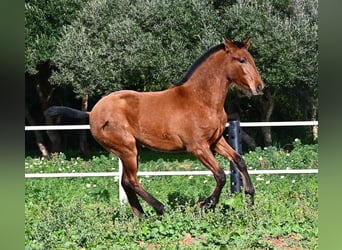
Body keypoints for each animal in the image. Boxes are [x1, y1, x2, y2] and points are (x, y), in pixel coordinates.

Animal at [45, 38, 264, 217]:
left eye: (251, 59)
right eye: (241, 60)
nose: (260, 87)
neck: (201, 100)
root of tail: (92, 113)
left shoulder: (215, 141)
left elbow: (239, 160)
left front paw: (250, 199)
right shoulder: (198, 147)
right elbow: (220, 175)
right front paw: (205, 205)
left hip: (132, 150)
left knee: (125, 182)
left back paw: (141, 215)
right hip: (127, 149)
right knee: (131, 181)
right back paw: (160, 209)